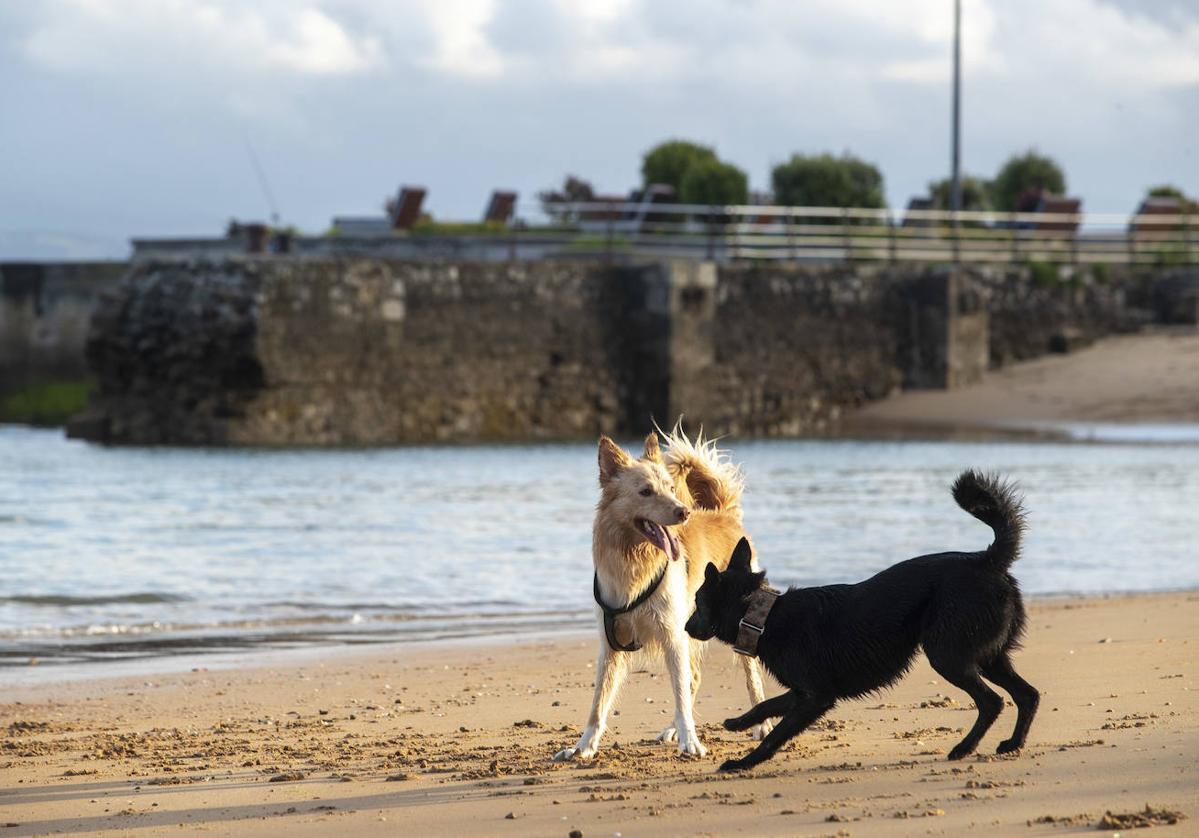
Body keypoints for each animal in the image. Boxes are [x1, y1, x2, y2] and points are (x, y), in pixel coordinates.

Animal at [551, 429, 767, 762]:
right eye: (645, 492)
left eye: (670, 488)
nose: (684, 511)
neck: (635, 559)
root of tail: (722, 513)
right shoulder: (610, 645)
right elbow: (598, 704)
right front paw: (583, 746)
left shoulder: (672, 635)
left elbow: (680, 696)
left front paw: (691, 741)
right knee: (694, 677)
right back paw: (672, 731)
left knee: (749, 676)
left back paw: (761, 726)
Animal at [685, 472, 1040, 772]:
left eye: (698, 602)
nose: (686, 628)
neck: (767, 615)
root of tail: (986, 559)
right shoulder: (804, 693)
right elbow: (766, 706)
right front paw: (738, 723)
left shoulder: (814, 698)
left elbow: (775, 735)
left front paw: (743, 763)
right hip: (988, 656)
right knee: (1028, 695)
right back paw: (1013, 744)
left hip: (948, 655)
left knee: (992, 702)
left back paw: (964, 748)